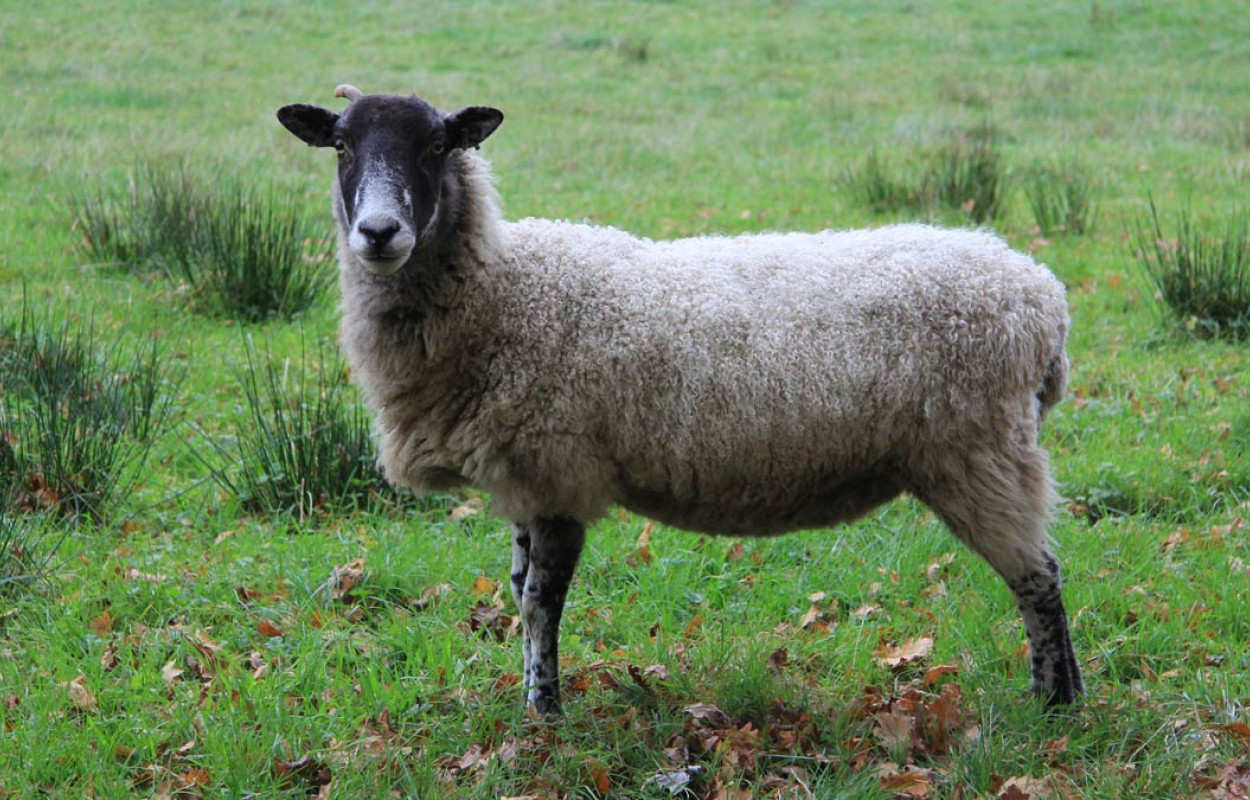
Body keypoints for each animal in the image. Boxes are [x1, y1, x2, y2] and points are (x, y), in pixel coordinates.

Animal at [277, 85, 1082, 714]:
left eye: (439, 144)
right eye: (341, 144)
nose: (378, 232)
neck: (503, 291)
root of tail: (1042, 296)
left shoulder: (560, 469)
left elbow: (541, 601)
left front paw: (545, 713)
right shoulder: (526, 478)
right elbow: (517, 588)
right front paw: (533, 700)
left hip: (980, 451)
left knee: (1039, 578)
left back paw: (1054, 702)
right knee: (1043, 570)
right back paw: (1061, 697)